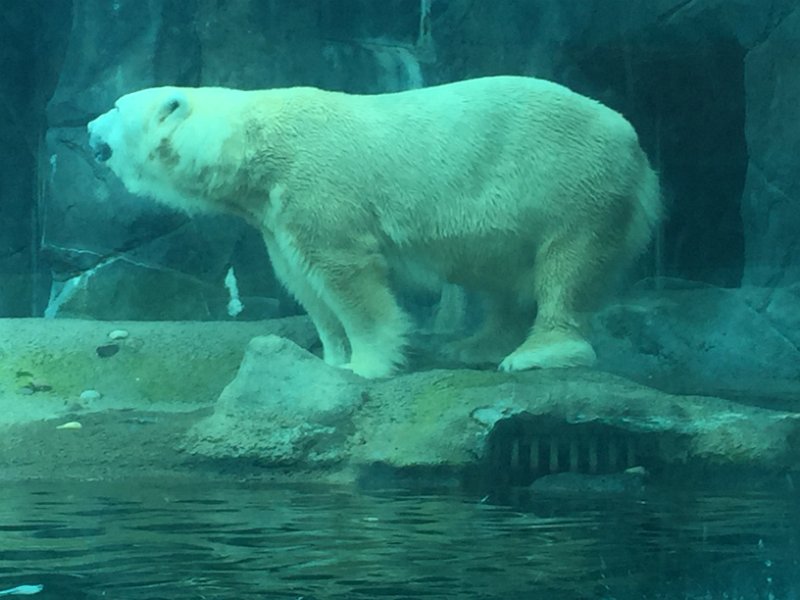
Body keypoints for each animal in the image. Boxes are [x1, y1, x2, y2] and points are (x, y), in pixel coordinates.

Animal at [87, 76, 662, 379]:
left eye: (115, 106)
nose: (89, 127)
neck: (253, 144)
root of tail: (636, 146)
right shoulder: (274, 215)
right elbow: (302, 282)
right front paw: (331, 359)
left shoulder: (317, 184)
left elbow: (346, 275)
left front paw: (366, 364)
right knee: (501, 278)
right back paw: (475, 346)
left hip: (570, 181)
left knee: (569, 261)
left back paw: (539, 353)